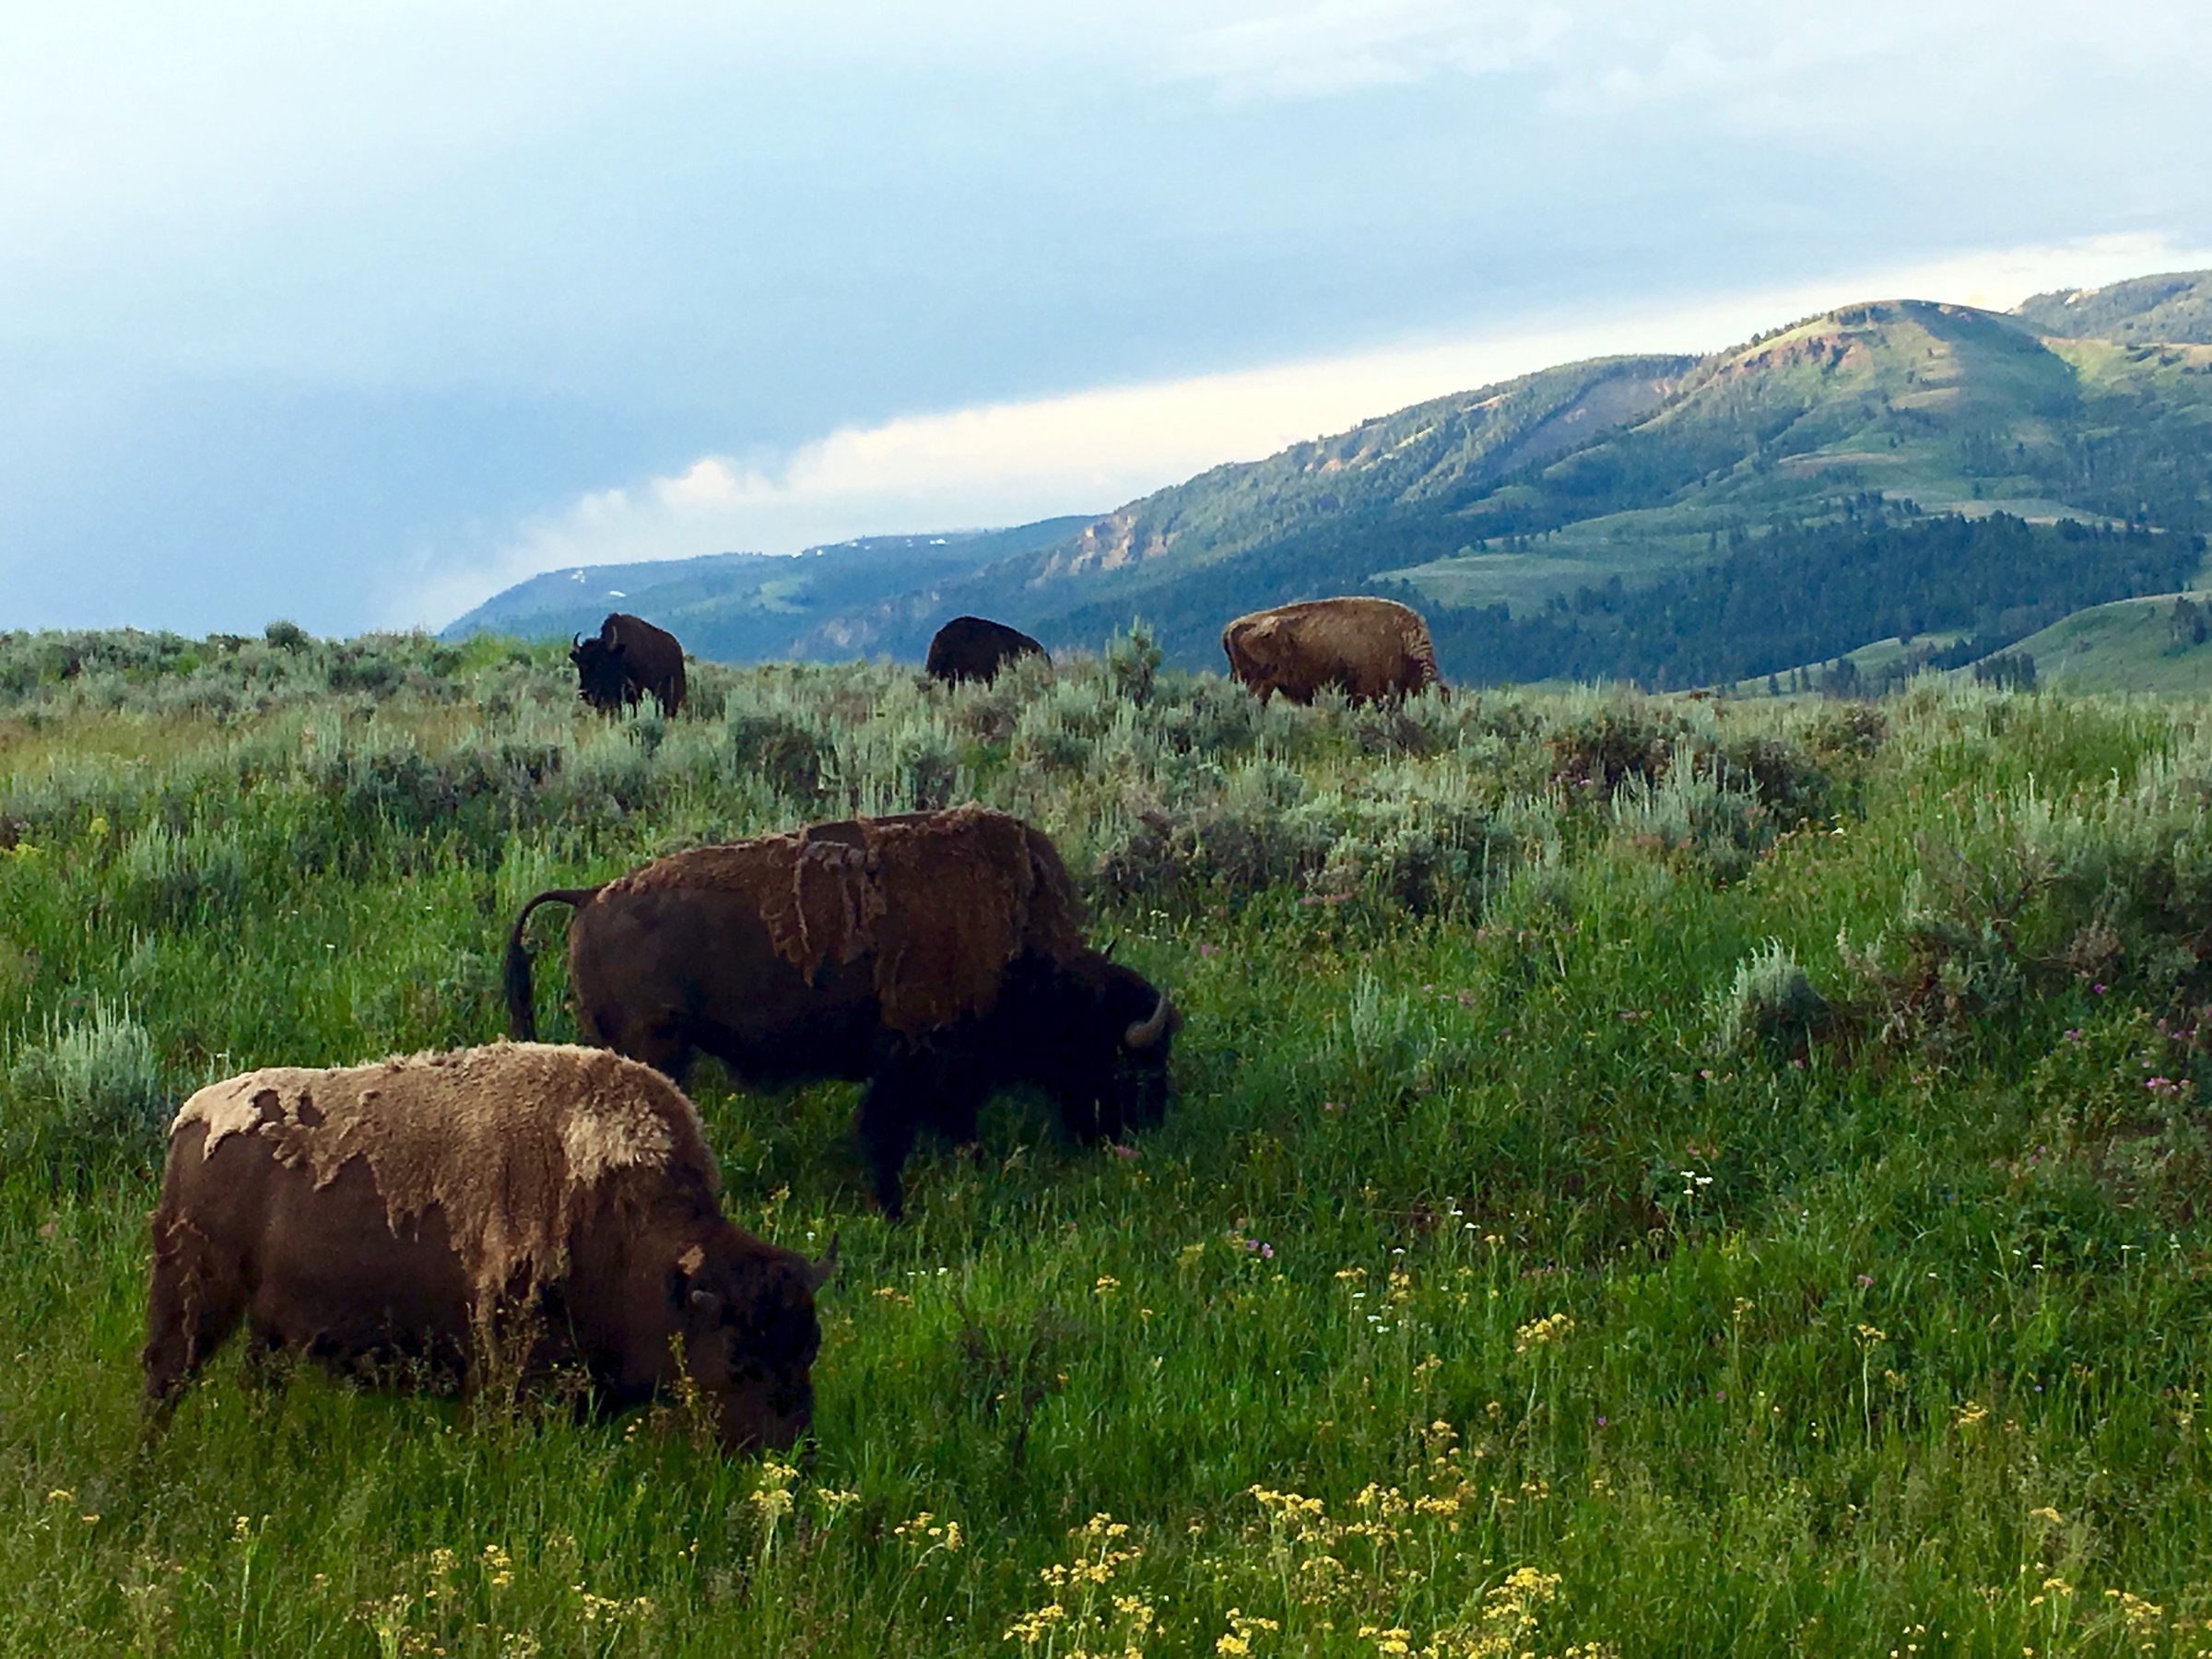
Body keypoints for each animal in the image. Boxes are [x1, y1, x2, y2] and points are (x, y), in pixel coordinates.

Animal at [143, 1042, 830, 1452]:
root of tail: (194, 1116)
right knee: (167, 1376)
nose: (790, 1450)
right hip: (196, 1294)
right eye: (736, 1356)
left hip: (269, 1327)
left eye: (810, 1347)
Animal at [505, 805, 1178, 1218]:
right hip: (657, 1048)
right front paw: (894, 1209)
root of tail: (588, 896)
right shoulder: (910, 1062)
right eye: (1119, 1060)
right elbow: (888, 1134)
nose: (1137, 1131)